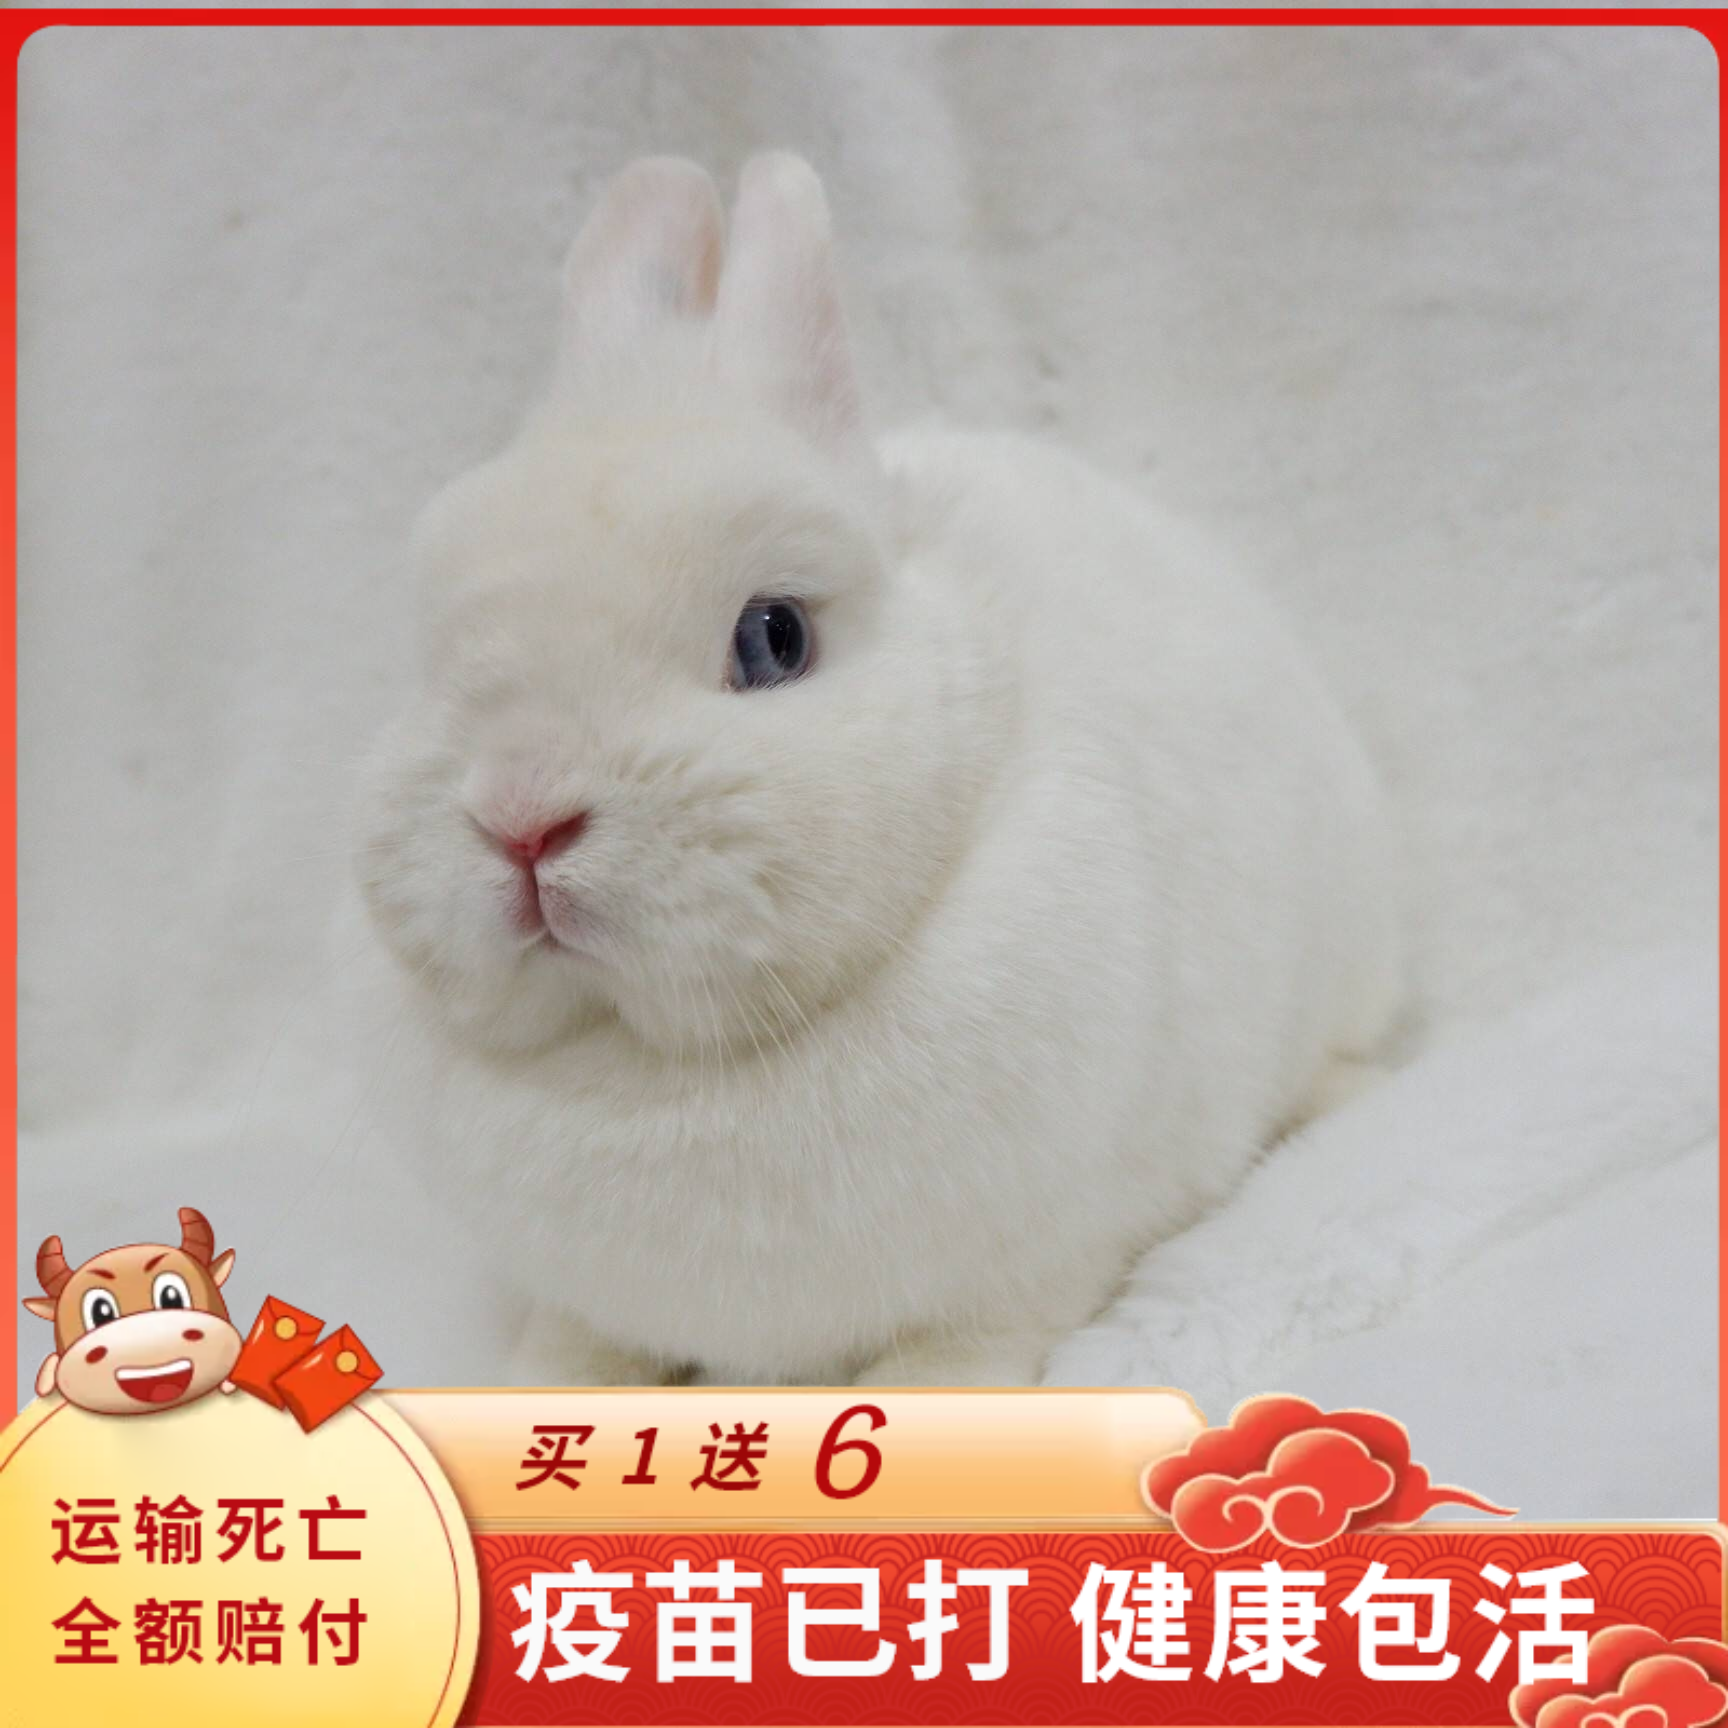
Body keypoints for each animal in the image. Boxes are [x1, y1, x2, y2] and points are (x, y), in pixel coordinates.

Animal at [356, 152, 1402, 1388]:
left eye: (775, 638)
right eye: (434, 658)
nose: (521, 820)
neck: (663, 1065)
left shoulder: (1041, 1256)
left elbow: (966, 1344)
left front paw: (924, 1406)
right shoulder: (595, 1297)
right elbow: (583, 1341)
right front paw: (532, 1388)